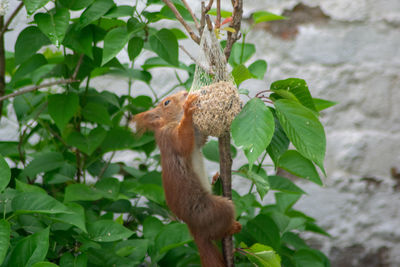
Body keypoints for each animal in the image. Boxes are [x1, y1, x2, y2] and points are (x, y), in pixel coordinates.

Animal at [134, 91, 241, 266]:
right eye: (167, 102)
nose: (185, 93)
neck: (171, 121)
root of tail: (195, 230)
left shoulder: (194, 138)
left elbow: (201, 139)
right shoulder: (169, 139)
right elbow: (182, 142)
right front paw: (188, 110)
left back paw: (215, 180)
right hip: (209, 210)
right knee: (216, 229)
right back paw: (231, 228)